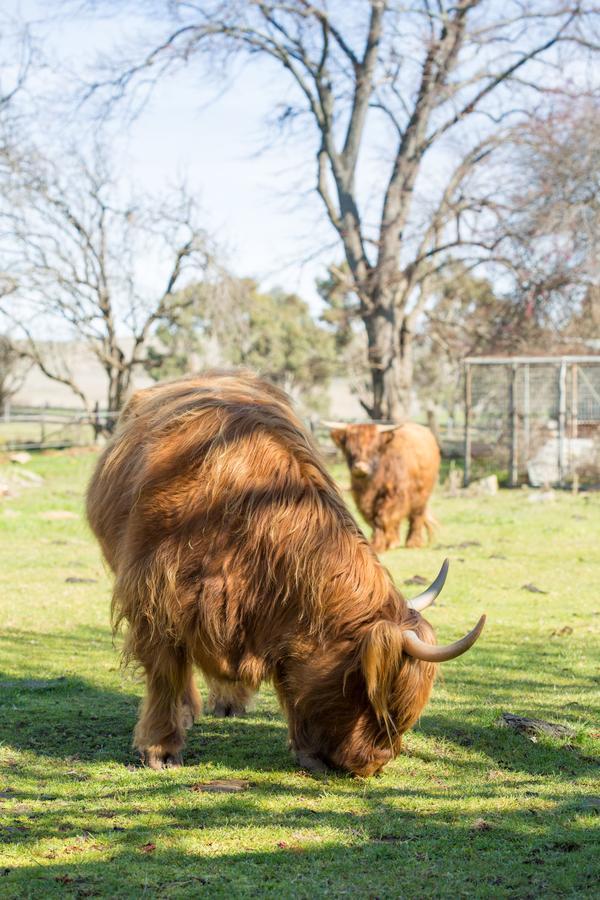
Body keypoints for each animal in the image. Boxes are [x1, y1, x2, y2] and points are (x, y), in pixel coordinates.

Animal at [328, 420, 440, 552]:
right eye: (349, 448)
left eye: (374, 449)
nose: (360, 467)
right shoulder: (364, 499)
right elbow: (374, 519)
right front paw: (379, 542)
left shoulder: (394, 494)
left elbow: (383, 517)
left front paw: (380, 544)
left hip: (421, 495)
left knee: (416, 517)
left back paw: (413, 542)